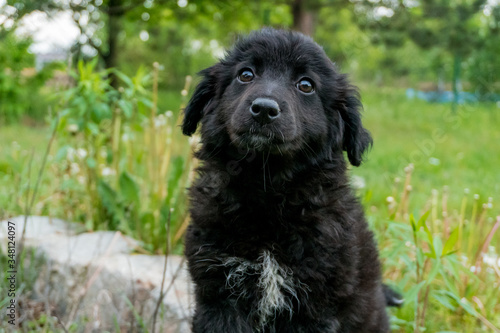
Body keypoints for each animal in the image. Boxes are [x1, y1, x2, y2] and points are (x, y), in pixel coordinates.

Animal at [182, 29, 396, 332]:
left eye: (306, 85)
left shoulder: (313, 306)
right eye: (245, 74)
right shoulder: (219, 295)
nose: (263, 109)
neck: (266, 190)